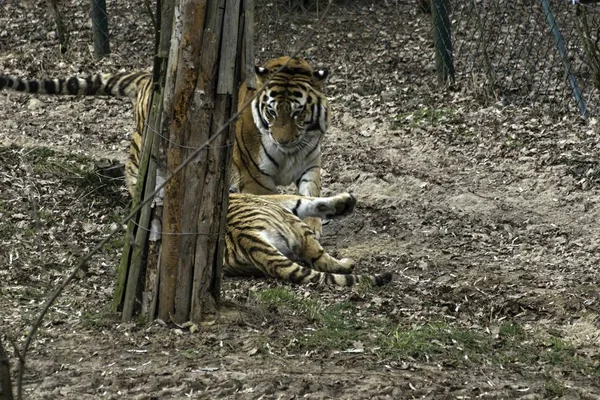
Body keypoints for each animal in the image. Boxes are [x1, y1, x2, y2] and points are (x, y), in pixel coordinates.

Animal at [0, 57, 394, 288]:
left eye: (298, 113)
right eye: (272, 112)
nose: (282, 140)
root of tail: (149, 77)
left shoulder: (309, 165)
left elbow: (310, 193)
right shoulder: (259, 184)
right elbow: (308, 205)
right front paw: (341, 208)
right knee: (318, 253)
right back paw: (347, 246)